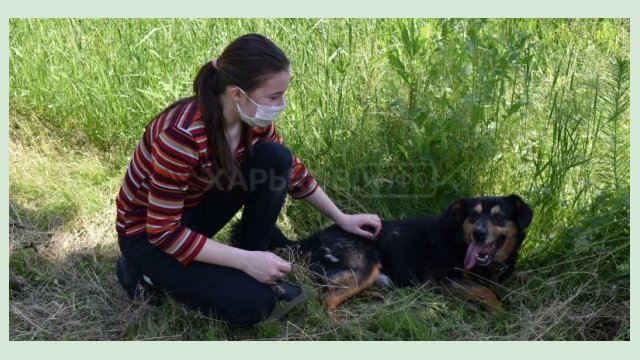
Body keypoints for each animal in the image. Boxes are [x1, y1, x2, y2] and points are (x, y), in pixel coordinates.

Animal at [278, 194, 532, 320]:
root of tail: (315, 237)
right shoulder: (439, 280)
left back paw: (375, 296)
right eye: (473, 215)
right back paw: (341, 326)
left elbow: (518, 277)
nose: (478, 234)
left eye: (499, 217)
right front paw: (501, 312)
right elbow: (484, 290)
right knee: (326, 299)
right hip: (366, 263)